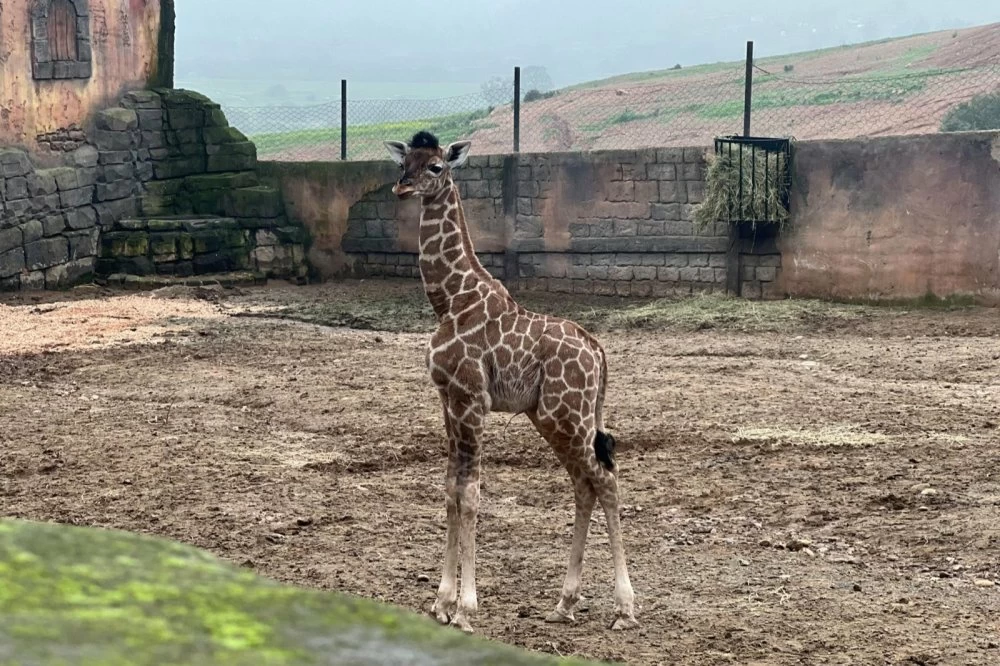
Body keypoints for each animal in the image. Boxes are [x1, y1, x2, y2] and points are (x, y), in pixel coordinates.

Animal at [384, 131, 639, 634]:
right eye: (405, 162)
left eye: (436, 166)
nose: (402, 188)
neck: (449, 301)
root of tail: (598, 351)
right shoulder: (447, 400)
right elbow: (449, 489)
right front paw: (441, 603)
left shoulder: (471, 400)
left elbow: (470, 494)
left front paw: (465, 609)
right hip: (552, 418)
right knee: (584, 484)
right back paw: (565, 602)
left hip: (569, 416)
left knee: (606, 481)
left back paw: (624, 607)